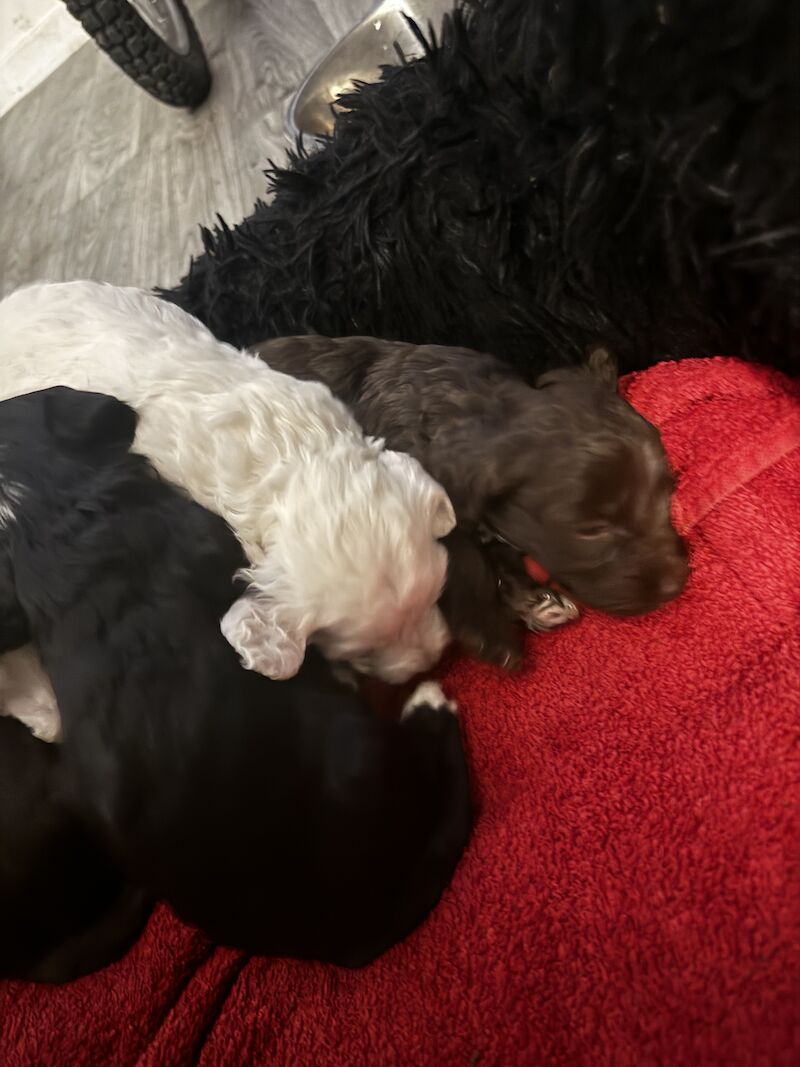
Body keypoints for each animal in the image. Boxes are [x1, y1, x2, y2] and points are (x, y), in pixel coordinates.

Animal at [0, 388, 473, 973]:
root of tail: (350, 931)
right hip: (366, 751)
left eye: (435, 595)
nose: (434, 658)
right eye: (364, 652)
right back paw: (428, 704)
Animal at [251, 337, 691, 661]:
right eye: (592, 529)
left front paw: (530, 598)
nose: (676, 584)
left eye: (667, 494)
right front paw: (493, 631)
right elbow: (464, 558)